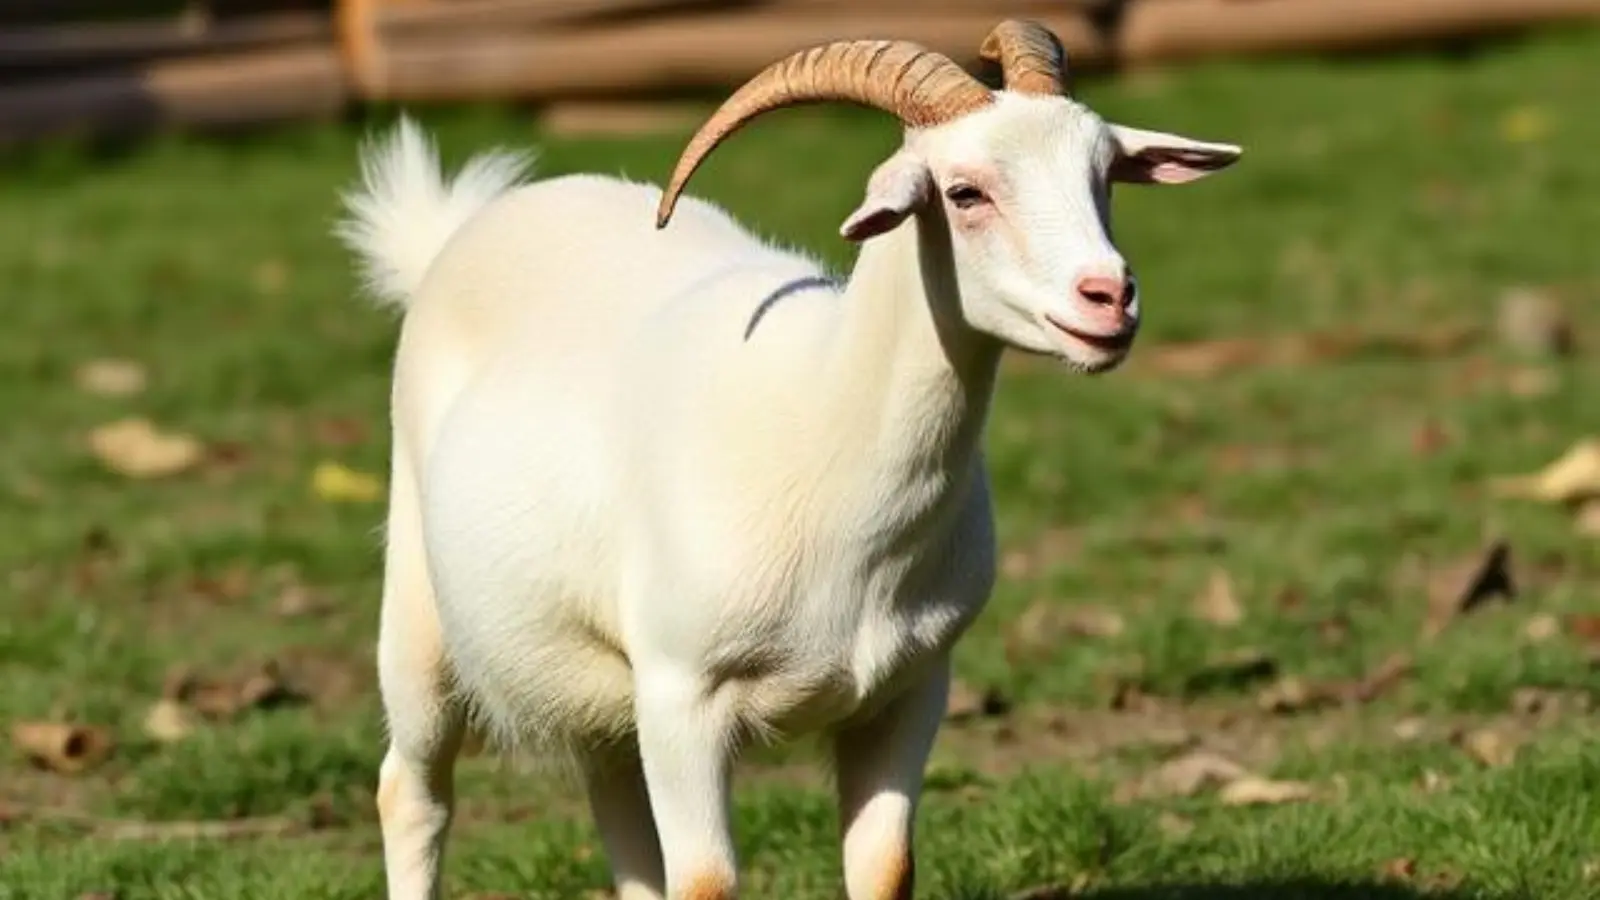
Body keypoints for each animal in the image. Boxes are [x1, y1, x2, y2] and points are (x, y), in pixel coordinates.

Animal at [336, 19, 1242, 900]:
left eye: (1104, 176)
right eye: (963, 193)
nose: (1110, 298)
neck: (823, 423)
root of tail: (457, 232)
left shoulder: (909, 691)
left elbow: (884, 868)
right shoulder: (683, 696)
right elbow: (704, 881)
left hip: (603, 689)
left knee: (617, 814)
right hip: (418, 619)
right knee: (411, 793)